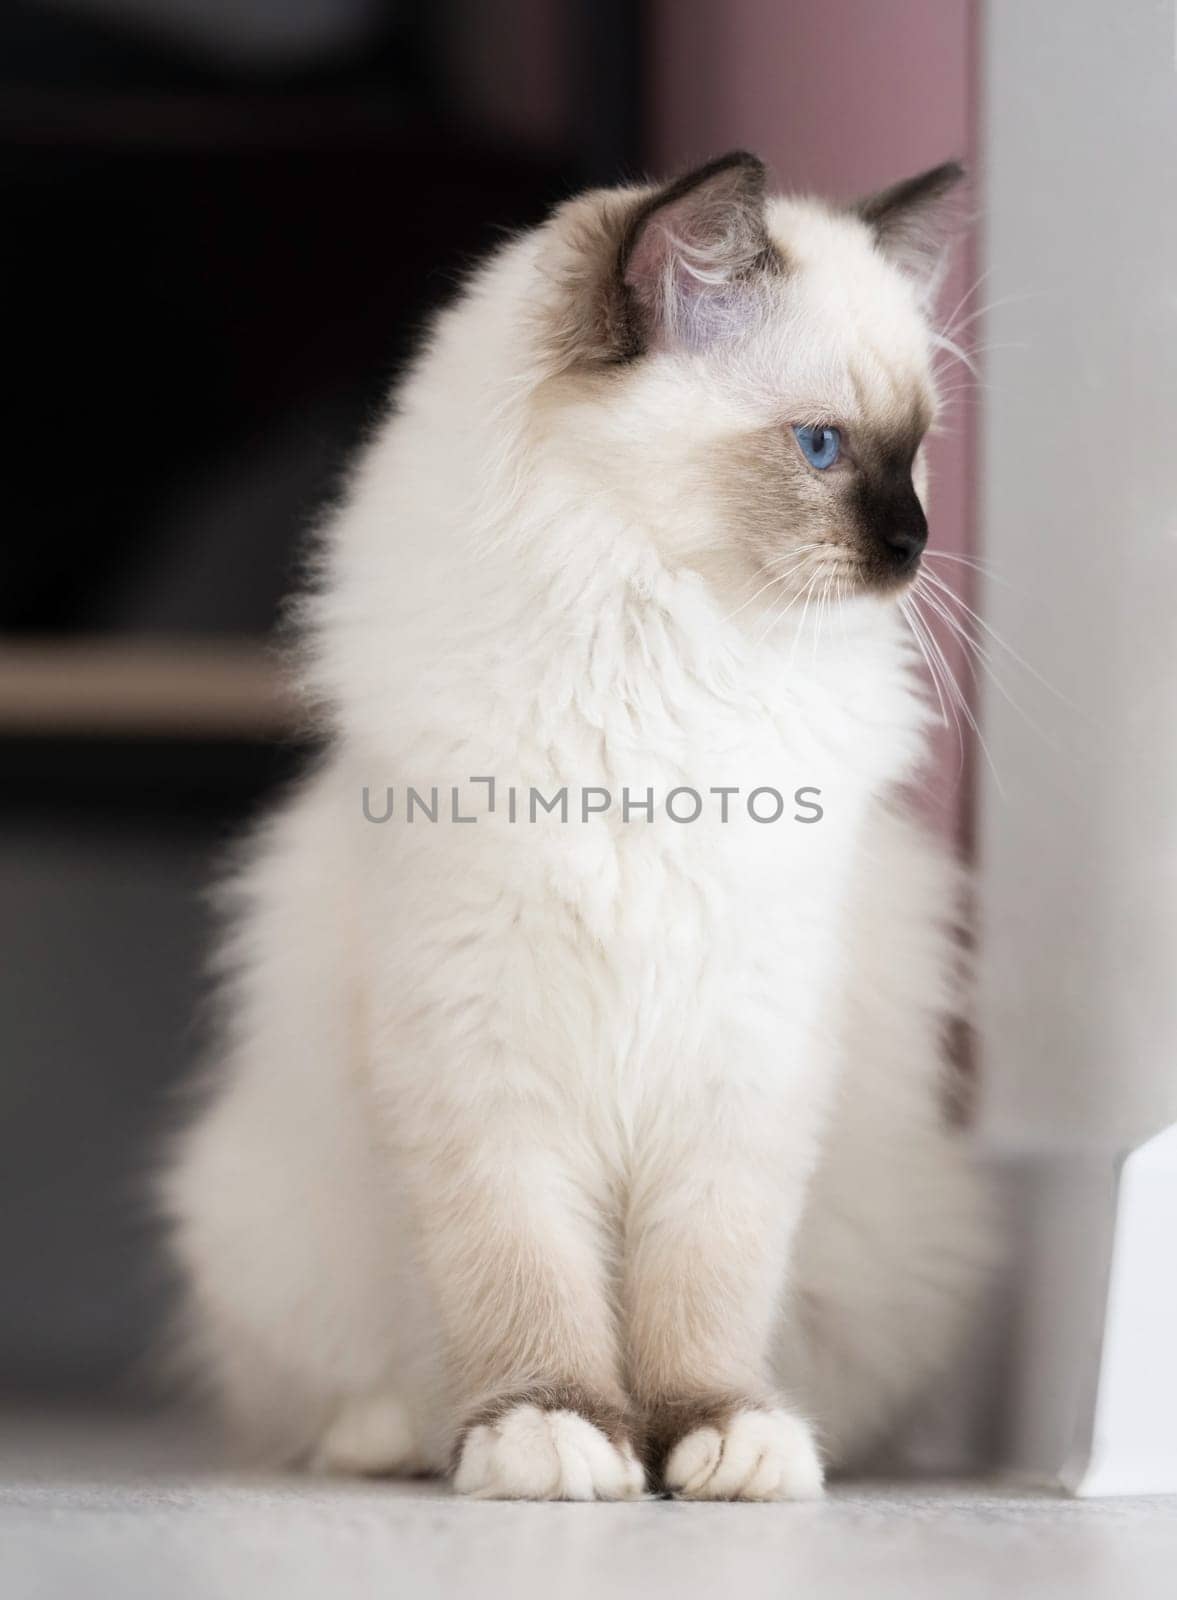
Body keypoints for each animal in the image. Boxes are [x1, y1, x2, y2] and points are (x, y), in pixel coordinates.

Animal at [163, 150, 991, 1497]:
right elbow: (522, 1279)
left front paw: (717, 1442)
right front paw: (552, 1434)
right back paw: (394, 1440)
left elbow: (705, 1293)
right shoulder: (481, 1050)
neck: (662, 657)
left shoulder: (742, 1057)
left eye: (915, 456)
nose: (914, 548)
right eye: (819, 447)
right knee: (345, 1388)